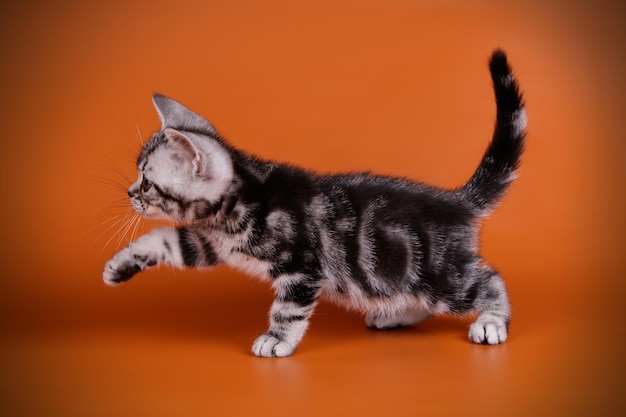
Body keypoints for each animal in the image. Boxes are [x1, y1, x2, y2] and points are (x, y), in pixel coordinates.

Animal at [103, 48, 528, 354]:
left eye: (146, 182)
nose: (129, 193)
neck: (242, 198)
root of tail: (458, 201)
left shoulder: (302, 267)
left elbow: (288, 308)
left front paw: (276, 339)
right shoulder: (211, 243)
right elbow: (165, 240)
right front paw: (120, 264)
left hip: (439, 273)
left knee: (488, 280)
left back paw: (491, 322)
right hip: (400, 272)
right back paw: (396, 315)